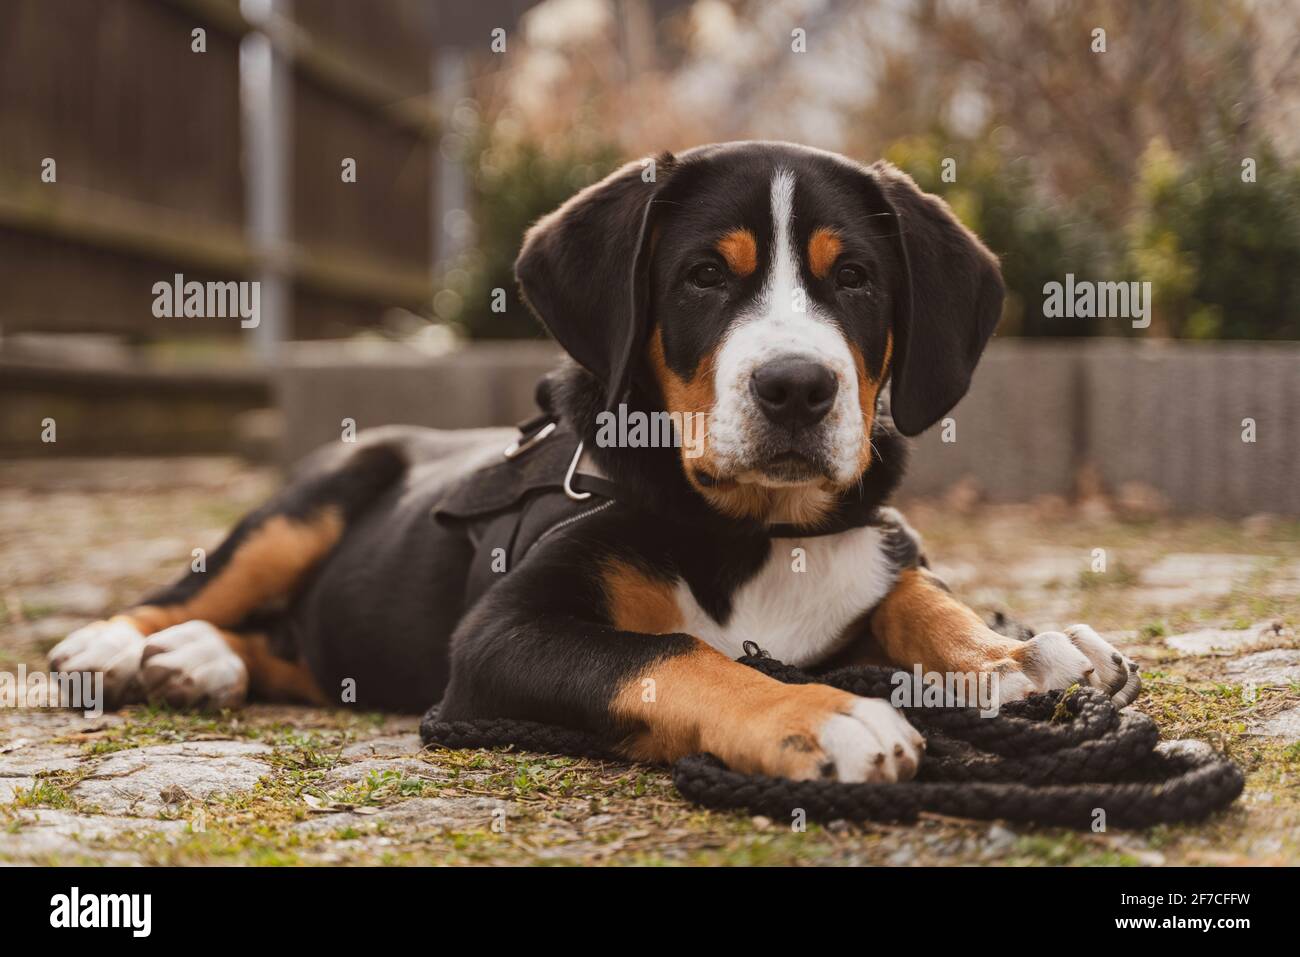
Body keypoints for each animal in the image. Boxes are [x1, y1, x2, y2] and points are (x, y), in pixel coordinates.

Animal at [48, 141, 1138, 785]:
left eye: (858, 279)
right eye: (704, 275)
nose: (796, 388)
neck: (753, 528)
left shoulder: (867, 541)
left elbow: (913, 588)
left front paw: (1016, 654)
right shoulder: (500, 635)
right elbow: (673, 654)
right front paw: (825, 711)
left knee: (296, 647)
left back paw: (201, 662)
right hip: (311, 502)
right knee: (198, 585)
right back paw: (114, 643)